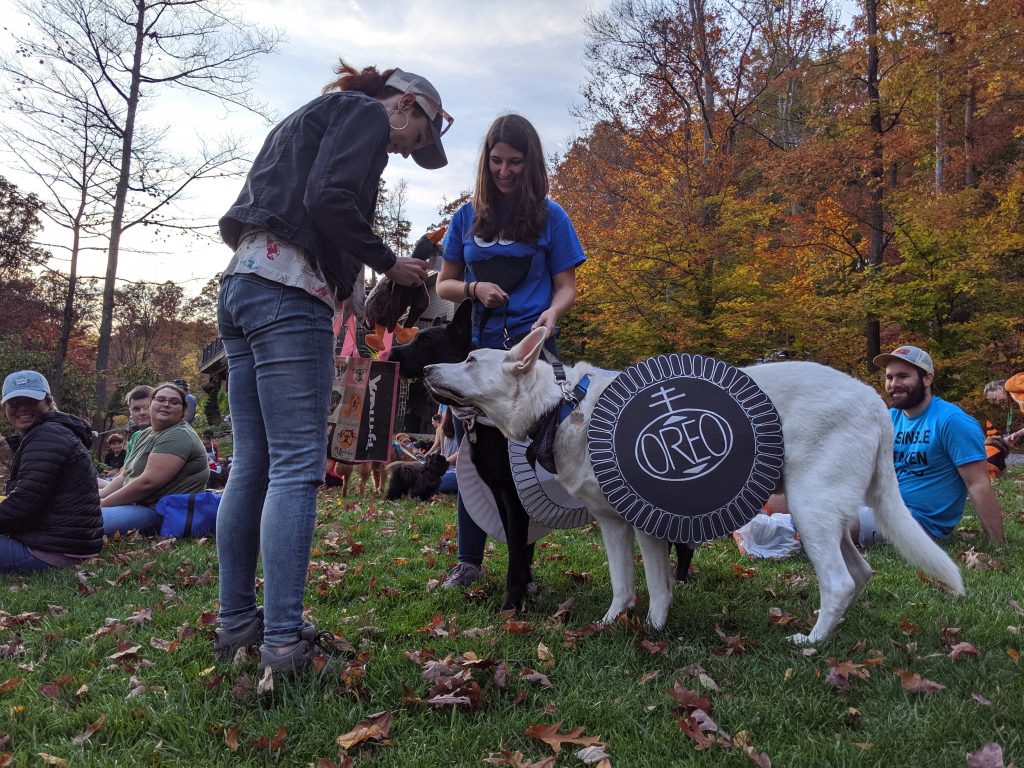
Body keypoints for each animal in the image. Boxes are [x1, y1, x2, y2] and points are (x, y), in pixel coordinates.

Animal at [425, 327, 966, 647]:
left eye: (470, 358)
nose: (427, 368)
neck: (560, 405)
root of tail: (876, 402)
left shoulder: (644, 524)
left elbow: (658, 586)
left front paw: (654, 632)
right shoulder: (612, 524)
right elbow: (623, 585)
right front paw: (610, 624)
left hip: (811, 512)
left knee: (839, 581)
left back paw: (810, 642)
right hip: (828, 518)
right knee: (861, 573)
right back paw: (831, 632)